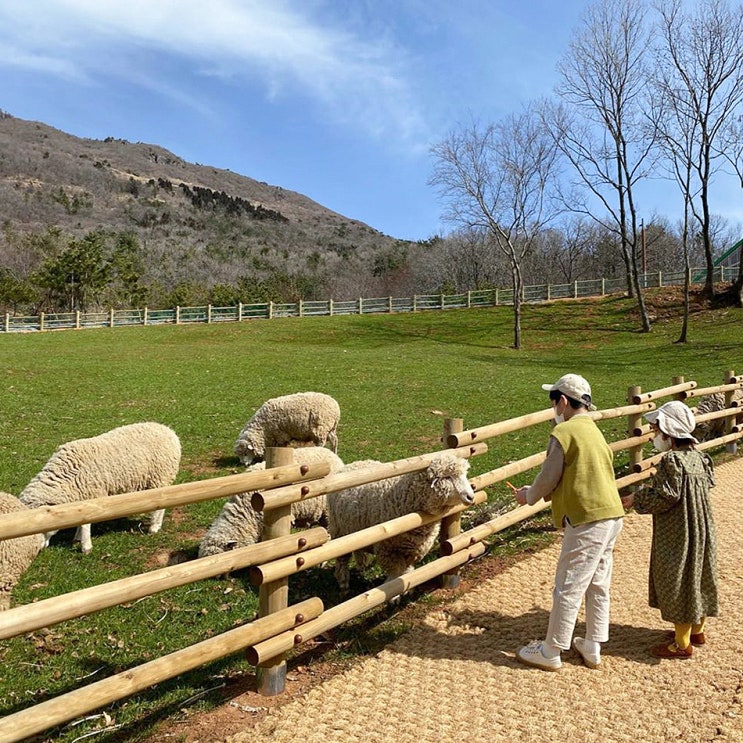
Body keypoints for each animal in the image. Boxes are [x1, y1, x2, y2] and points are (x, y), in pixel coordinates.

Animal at [18, 422, 182, 556]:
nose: (38, 550)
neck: (66, 477)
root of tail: (169, 430)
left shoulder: (92, 494)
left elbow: (86, 524)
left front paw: (86, 547)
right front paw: (78, 538)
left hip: (161, 476)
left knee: (160, 505)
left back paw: (154, 527)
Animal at [326, 450, 476, 596]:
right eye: (447, 477)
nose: (471, 497)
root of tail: (349, 465)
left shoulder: (413, 549)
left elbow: (405, 570)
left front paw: (408, 587)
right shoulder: (387, 548)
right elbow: (396, 572)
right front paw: (395, 595)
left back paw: (361, 566)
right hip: (338, 530)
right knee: (342, 560)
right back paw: (343, 583)